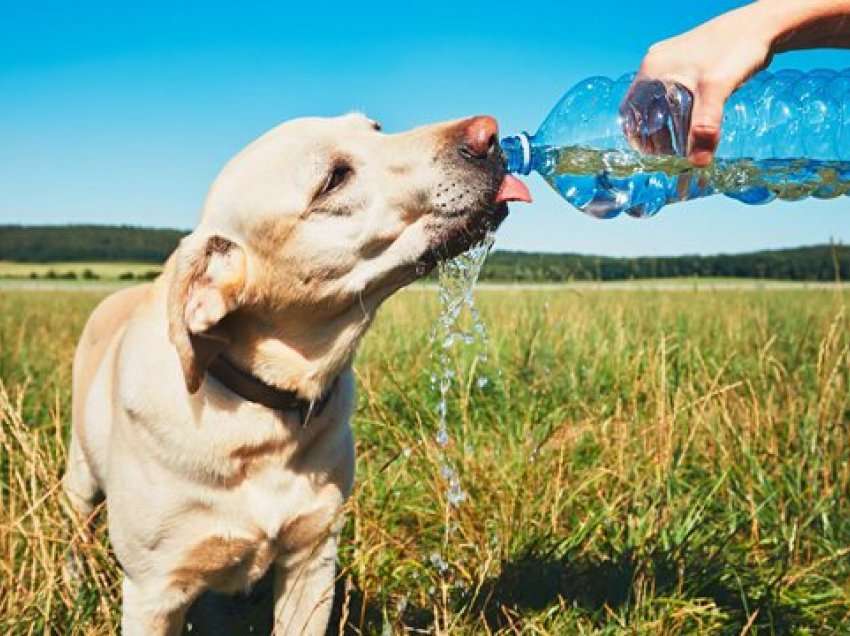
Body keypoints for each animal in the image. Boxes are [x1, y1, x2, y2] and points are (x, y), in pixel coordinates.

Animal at [63, 112, 528, 632]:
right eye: (334, 179)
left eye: (375, 127)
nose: (489, 133)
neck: (261, 413)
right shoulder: (153, 591)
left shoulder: (312, 560)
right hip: (79, 480)